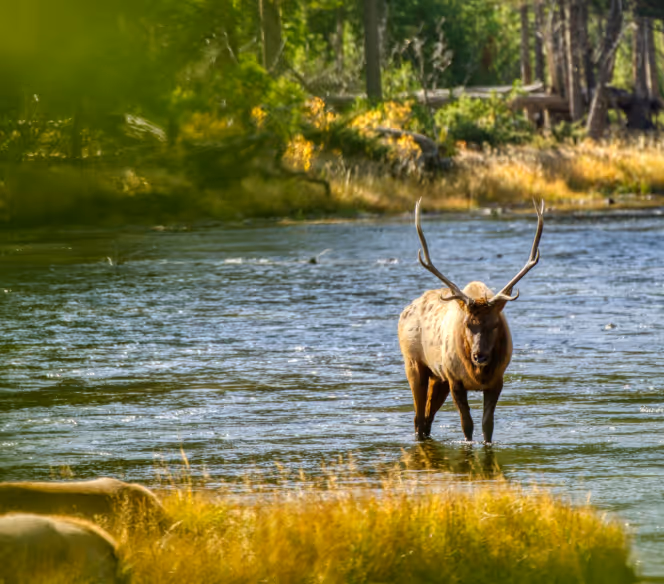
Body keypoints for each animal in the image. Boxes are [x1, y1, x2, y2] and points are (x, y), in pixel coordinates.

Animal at [398, 199, 544, 442]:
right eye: (467, 323)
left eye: (495, 324)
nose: (480, 356)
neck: (478, 375)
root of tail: (405, 311)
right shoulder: (455, 380)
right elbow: (467, 425)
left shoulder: (497, 380)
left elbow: (487, 426)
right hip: (414, 364)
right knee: (418, 419)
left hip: (438, 378)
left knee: (427, 419)